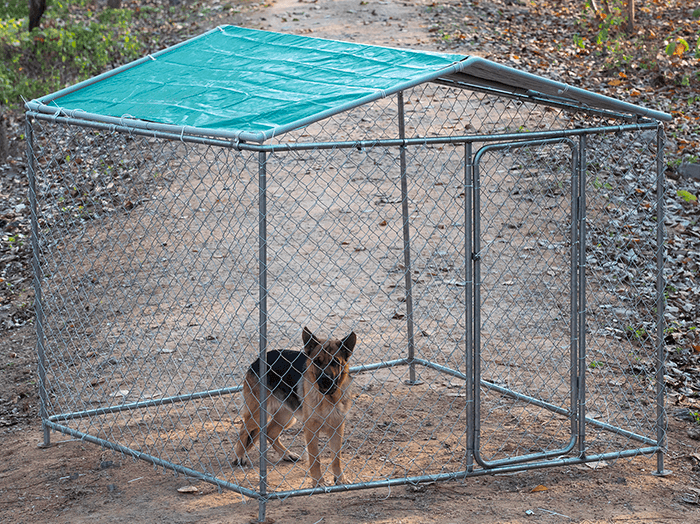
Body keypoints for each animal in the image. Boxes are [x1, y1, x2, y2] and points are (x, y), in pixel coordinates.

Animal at [234, 328, 358, 488]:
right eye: (317, 361)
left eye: (335, 362)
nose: (325, 380)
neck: (328, 398)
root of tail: (258, 360)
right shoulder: (311, 428)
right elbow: (315, 459)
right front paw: (318, 482)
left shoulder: (337, 427)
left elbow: (336, 458)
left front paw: (340, 479)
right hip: (259, 414)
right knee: (244, 429)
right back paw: (239, 456)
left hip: (286, 417)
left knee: (270, 432)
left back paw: (287, 455)